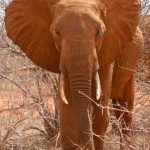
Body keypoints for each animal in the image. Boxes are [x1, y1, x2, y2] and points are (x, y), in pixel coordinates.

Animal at [4, 0, 144, 149]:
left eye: (99, 32)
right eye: (56, 32)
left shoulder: (108, 49)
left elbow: (99, 111)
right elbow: (68, 112)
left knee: (125, 110)